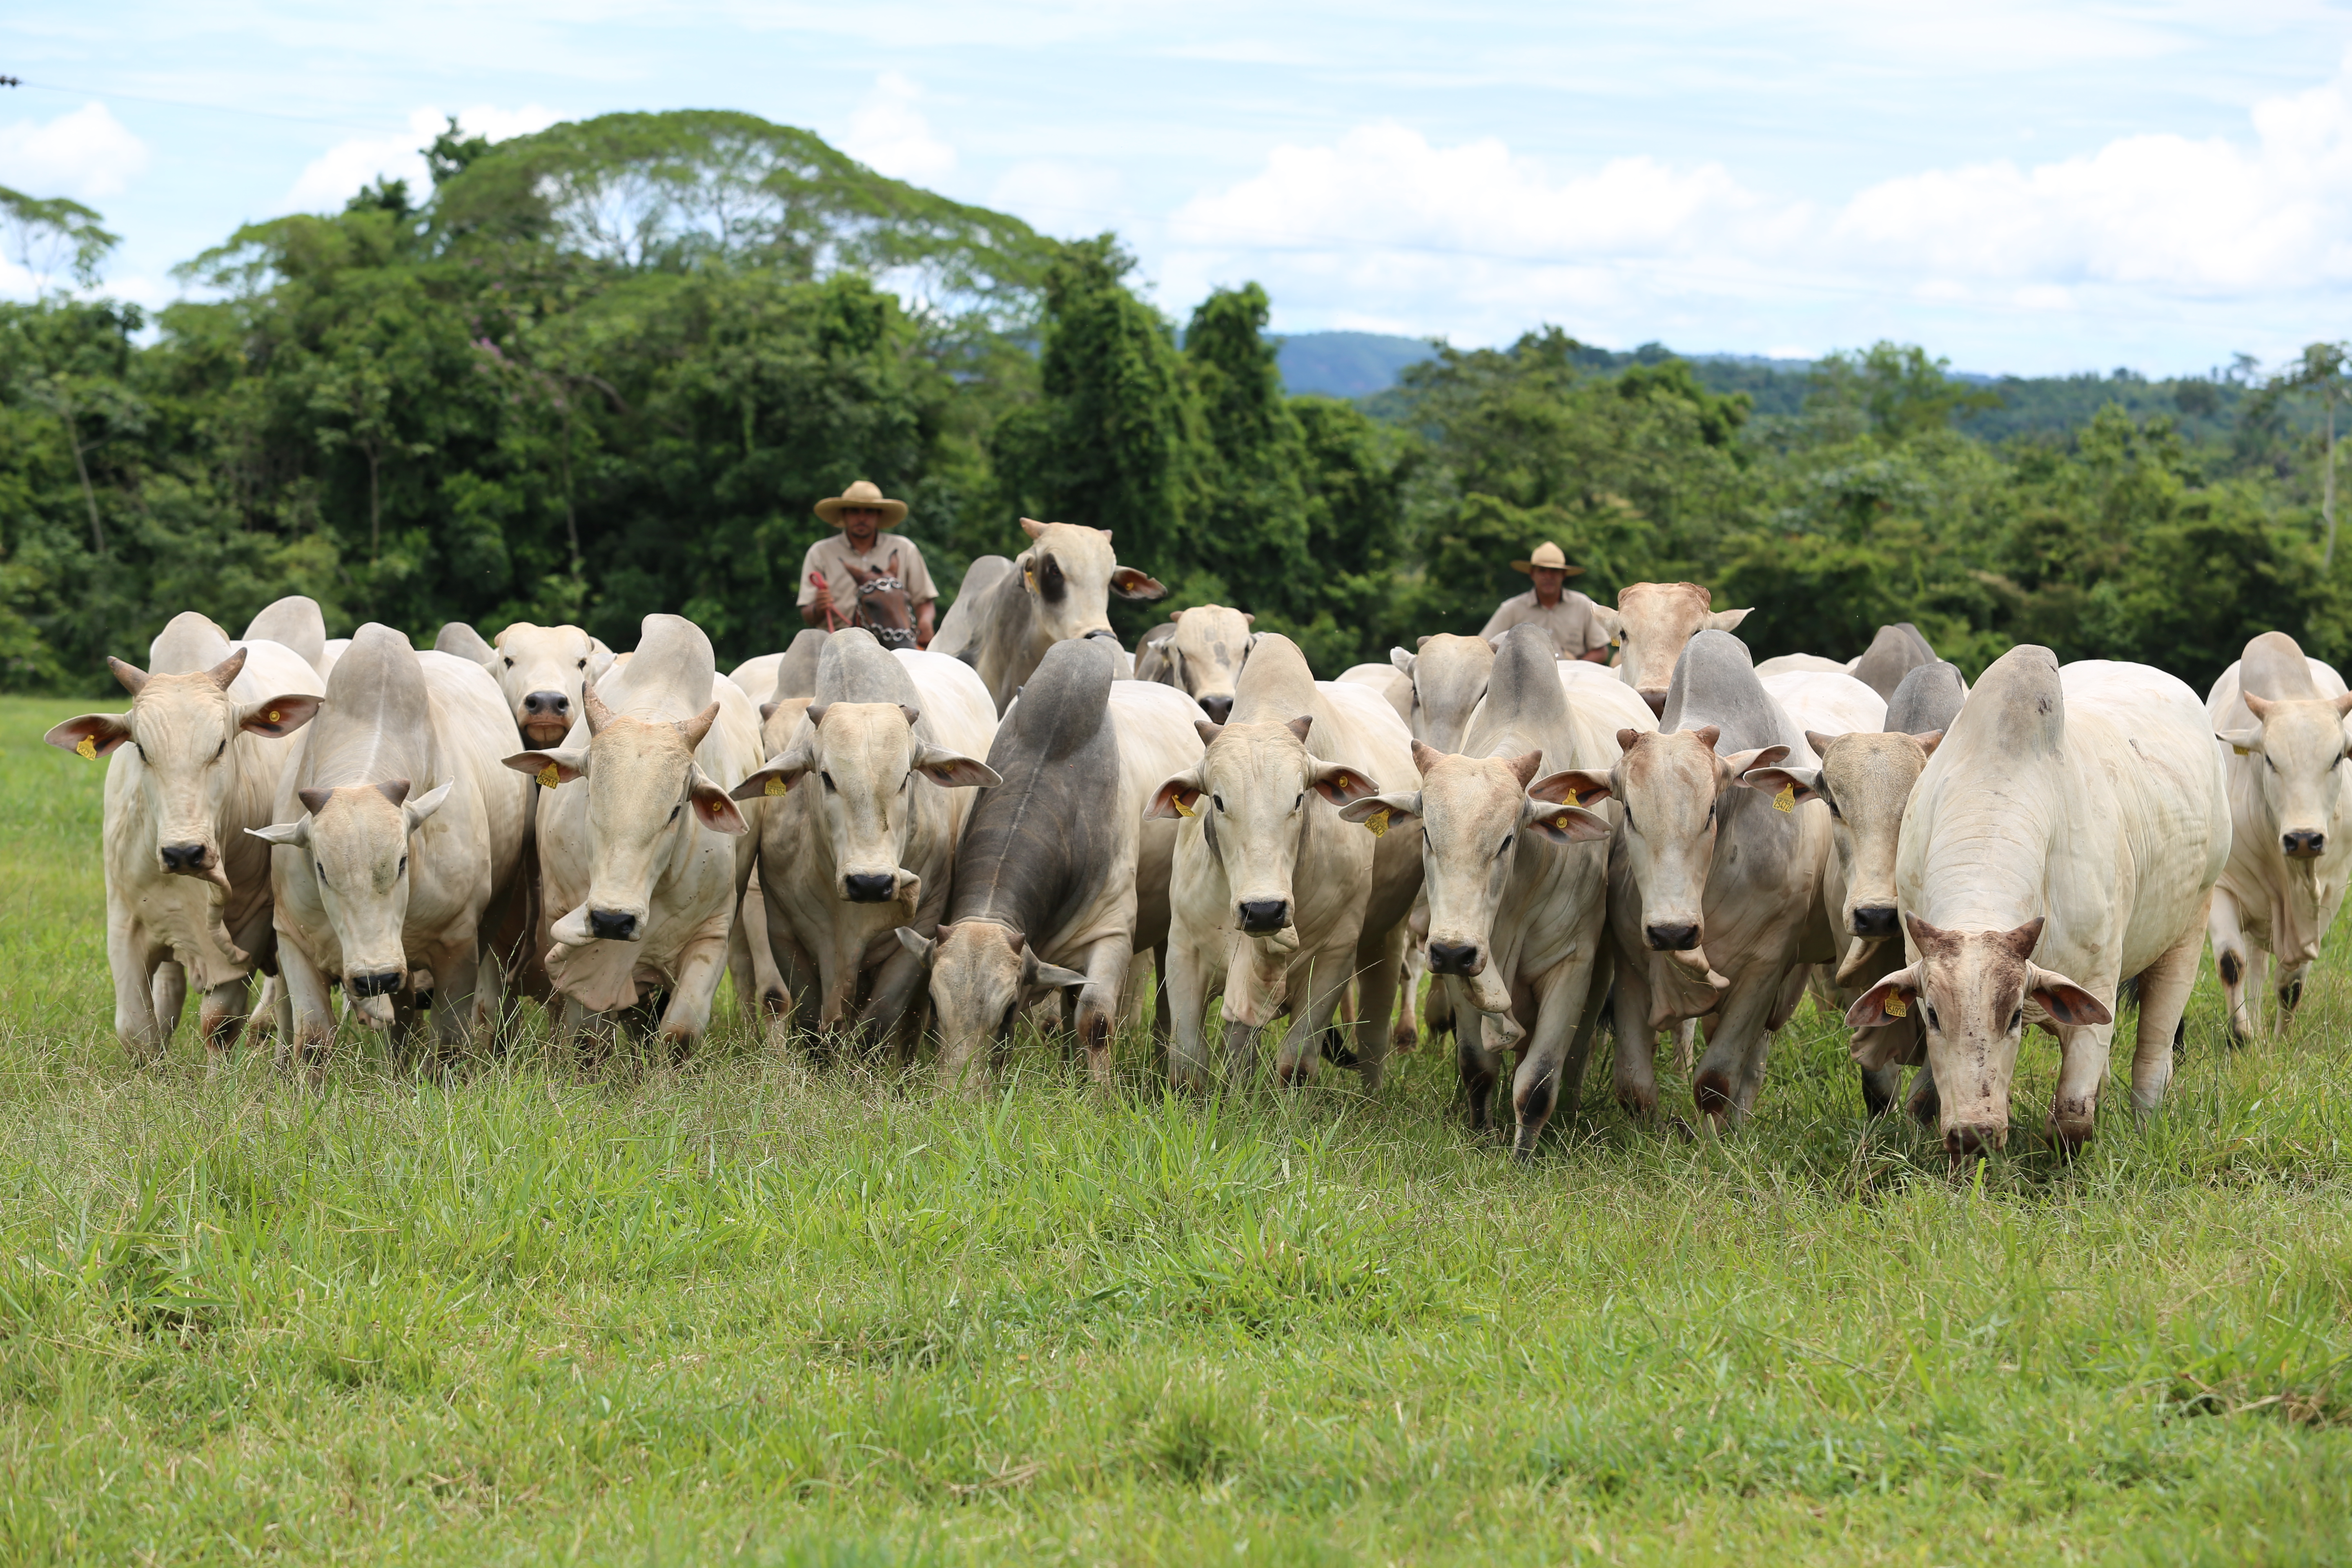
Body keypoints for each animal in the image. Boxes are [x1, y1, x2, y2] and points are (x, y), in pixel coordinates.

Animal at [45, 611, 322, 1067]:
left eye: (222, 745)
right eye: (141, 749)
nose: (184, 853)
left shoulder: (250, 923)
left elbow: (220, 1021)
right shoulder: (124, 919)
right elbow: (137, 1031)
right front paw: (151, 1077)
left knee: (283, 998)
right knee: (170, 992)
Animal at [254, 625, 539, 1067]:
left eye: (402, 861)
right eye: (322, 870)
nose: (376, 976)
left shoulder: (457, 945)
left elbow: (450, 1044)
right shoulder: (294, 941)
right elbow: (313, 1043)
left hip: (495, 913)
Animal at [506, 611, 762, 1053]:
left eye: (676, 811)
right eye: (591, 797)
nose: (613, 920)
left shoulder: (713, 933)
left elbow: (679, 1033)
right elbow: (588, 1038)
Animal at [1853, 653, 2220, 1166]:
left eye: (2013, 1017)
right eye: (1932, 1015)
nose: (1975, 1133)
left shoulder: (2098, 986)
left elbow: (2072, 1119)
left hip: (2189, 928)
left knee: (2153, 1056)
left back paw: (2145, 1123)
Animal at [2201, 630, 2352, 1048]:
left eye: (2337, 758)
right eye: (2270, 759)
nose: (2303, 839)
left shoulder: (2329, 894)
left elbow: (2292, 983)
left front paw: (2283, 1040)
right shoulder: (2223, 886)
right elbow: (2231, 962)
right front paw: (2242, 1036)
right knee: (2252, 964)